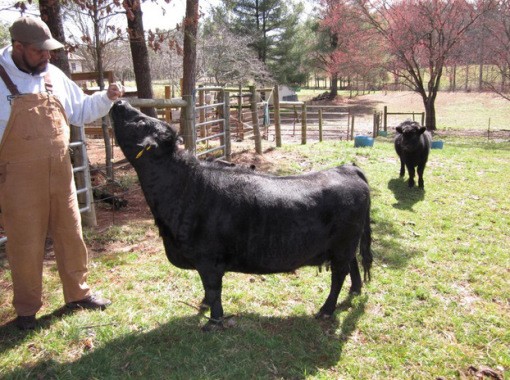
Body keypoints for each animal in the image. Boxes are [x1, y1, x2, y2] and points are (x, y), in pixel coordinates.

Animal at [109, 100, 372, 330]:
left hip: (342, 245)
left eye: (141, 121)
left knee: (339, 275)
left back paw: (326, 310)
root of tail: (348, 168)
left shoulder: (208, 259)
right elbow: (209, 291)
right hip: (347, 244)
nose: (120, 101)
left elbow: (214, 289)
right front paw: (204, 305)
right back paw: (355, 290)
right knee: (354, 263)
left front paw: (214, 321)